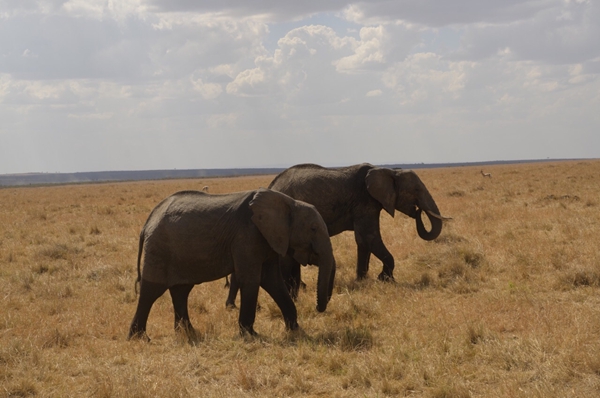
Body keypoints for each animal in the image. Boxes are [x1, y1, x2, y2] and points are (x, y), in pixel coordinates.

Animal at [128, 188, 336, 340]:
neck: (288, 202)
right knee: (151, 291)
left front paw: (295, 330)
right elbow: (251, 280)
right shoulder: (247, 235)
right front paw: (251, 335)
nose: (318, 308)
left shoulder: (267, 239)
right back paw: (140, 338)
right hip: (159, 249)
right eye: (313, 228)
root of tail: (147, 223)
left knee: (181, 291)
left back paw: (189, 333)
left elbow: (272, 281)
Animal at [225, 163, 446, 306]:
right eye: (416, 189)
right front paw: (385, 279)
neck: (390, 170)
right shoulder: (365, 201)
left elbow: (363, 241)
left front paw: (362, 280)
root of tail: (271, 185)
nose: (418, 211)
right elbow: (370, 237)